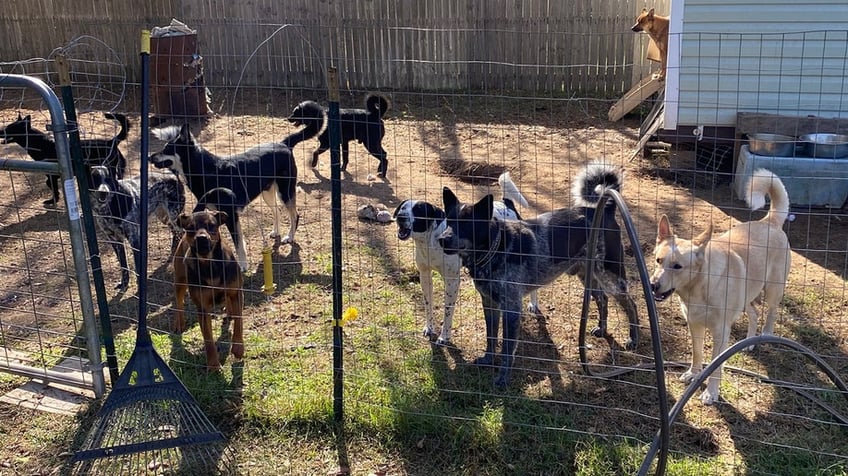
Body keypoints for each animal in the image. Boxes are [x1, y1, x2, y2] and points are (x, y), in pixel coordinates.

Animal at [149, 101, 324, 272]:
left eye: (167, 149)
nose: (150, 157)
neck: (206, 170)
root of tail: (284, 144)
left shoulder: (232, 216)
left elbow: (239, 244)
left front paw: (243, 266)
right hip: (267, 193)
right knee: (277, 211)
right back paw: (276, 232)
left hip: (285, 192)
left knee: (295, 215)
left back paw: (290, 236)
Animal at [172, 209, 243, 372]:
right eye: (190, 228)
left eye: (212, 225)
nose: (202, 238)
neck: (210, 264)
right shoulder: (203, 308)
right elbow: (208, 339)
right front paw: (213, 365)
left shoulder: (236, 292)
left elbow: (239, 321)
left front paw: (238, 348)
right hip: (180, 279)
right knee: (179, 302)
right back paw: (179, 323)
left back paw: (229, 311)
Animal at [396, 171, 540, 346]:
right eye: (403, 208)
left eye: (418, 210)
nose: (400, 217)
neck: (431, 242)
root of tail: (507, 204)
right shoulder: (425, 275)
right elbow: (428, 304)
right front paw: (429, 328)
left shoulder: (452, 281)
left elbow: (448, 311)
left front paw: (444, 336)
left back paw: (533, 304)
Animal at [440, 163, 640, 386]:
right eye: (449, 221)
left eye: (467, 224)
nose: (442, 239)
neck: (496, 247)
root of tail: (606, 209)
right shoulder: (489, 303)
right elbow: (491, 338)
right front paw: (488, 359)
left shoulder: (511, 308)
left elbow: (507, 349)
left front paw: (503, 378)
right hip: (589, 275)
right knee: (603, 299)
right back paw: (602, 329)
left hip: (610, 276)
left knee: (631, 304)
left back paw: (633, 339)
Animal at [652, 169, 792, 404]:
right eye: (658, 261)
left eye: (678, 266)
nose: (653, 285)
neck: (698, 288)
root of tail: (769, 222)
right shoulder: (695, 325)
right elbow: (697, 353)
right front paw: (694, 373)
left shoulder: (721, 332)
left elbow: (715, 367)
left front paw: (711, 392)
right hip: (747, 297)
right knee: (754, 314)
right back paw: (749, 341)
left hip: (773, 290)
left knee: (771, 313)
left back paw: (765, 335)